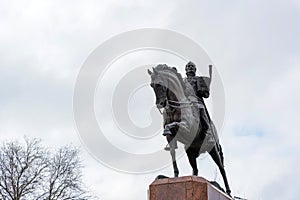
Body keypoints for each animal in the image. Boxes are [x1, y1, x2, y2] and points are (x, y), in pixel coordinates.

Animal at [148, 64, 232, 195]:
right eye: (151, 85)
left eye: (159, 84)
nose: (160, 104)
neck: (174, 107)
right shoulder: (171, 138)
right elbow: (172, 153)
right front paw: (175, 176)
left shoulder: (186, 127)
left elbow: (172, 125)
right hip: (190, 151)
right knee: (195, 169)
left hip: (213, 149)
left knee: (221, 168)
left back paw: (228, 191)